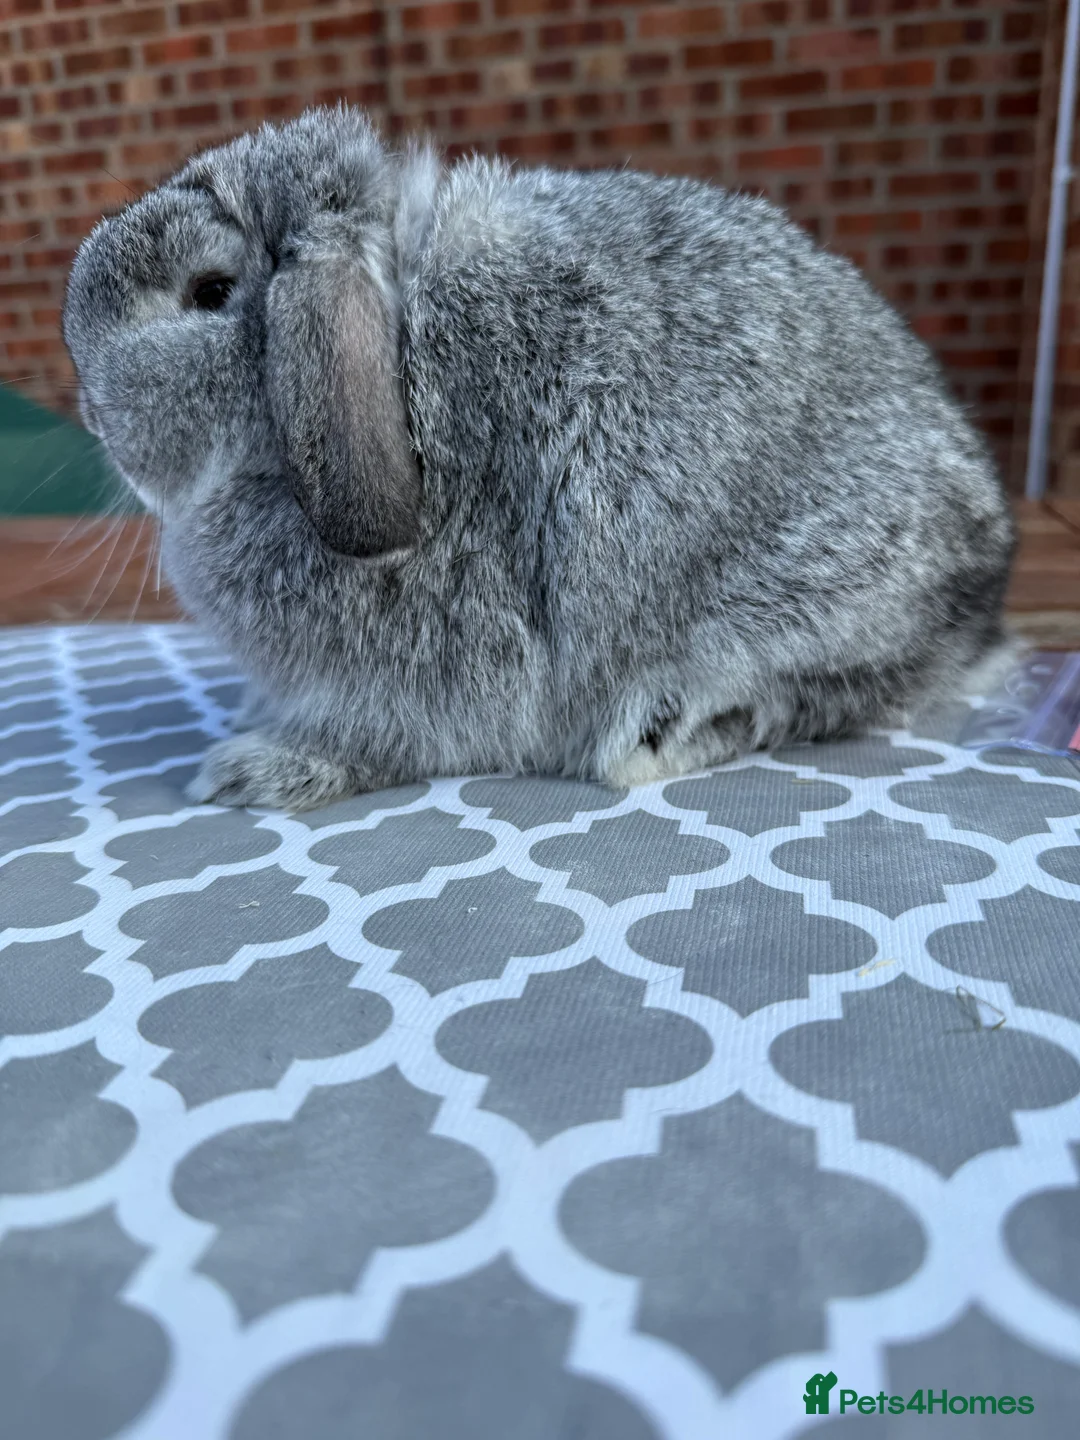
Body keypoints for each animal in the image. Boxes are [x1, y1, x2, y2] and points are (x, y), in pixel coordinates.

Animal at [63, 106, 1015, 811]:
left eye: (210, 292)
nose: (93, 415)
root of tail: (985, 586)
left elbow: (385, 740)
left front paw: (252, 771)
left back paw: (665, 733)